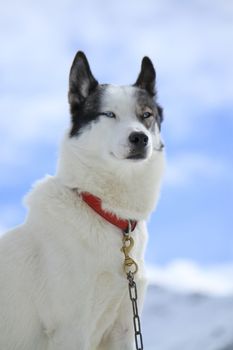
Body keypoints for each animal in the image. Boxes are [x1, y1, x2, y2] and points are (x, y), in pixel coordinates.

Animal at [0, 50, 165, 348]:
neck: (103, 210)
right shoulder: (72, 330)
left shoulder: (124, 326)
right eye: (109, 114)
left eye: (146, 115)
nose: (140, 138)